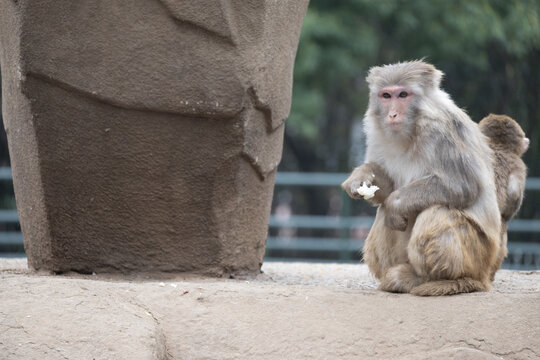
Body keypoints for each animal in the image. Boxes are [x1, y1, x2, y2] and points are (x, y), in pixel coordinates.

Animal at [342, 59, 502, 296]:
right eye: (386, 96)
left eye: (403, 95)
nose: (392, 114)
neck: (412, 129)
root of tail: (484, 275)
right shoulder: (375, 133)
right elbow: (386, 188)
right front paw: (361, 177)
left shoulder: (440, 132)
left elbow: (463, 186)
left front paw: (395, 204)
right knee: (385, 214)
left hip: (478, 255)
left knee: (437, 211)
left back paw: (434, 280)